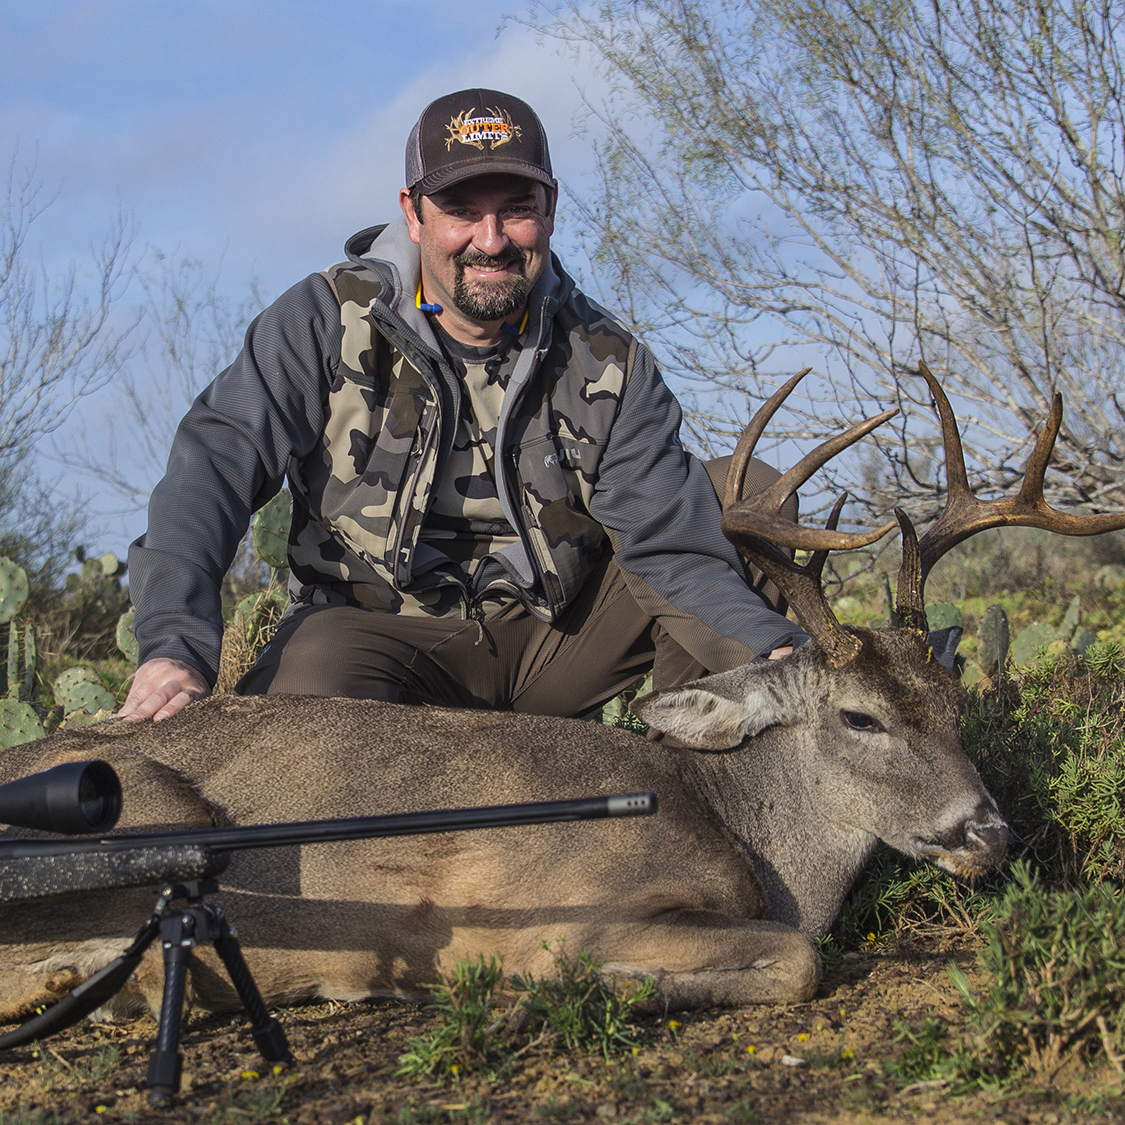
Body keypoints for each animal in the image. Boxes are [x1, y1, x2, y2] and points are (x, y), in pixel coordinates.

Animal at [0, 364, 1111, 1026]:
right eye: (860, 715)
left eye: (957, 709)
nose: (987, 832)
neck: (749, 832)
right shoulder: (590, 893)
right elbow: (797, 959)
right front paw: (571, 984)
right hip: (145, 802)